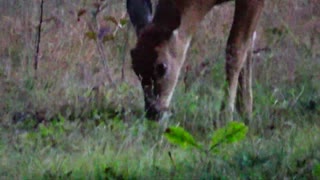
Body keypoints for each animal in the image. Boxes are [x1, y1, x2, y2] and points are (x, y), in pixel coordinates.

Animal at [126, 0, 264, 122]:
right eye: (134, 68)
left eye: (162, 67)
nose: (153, 113)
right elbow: (248, 46)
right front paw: (246, 114)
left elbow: (236, 47)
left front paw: (225, 118)